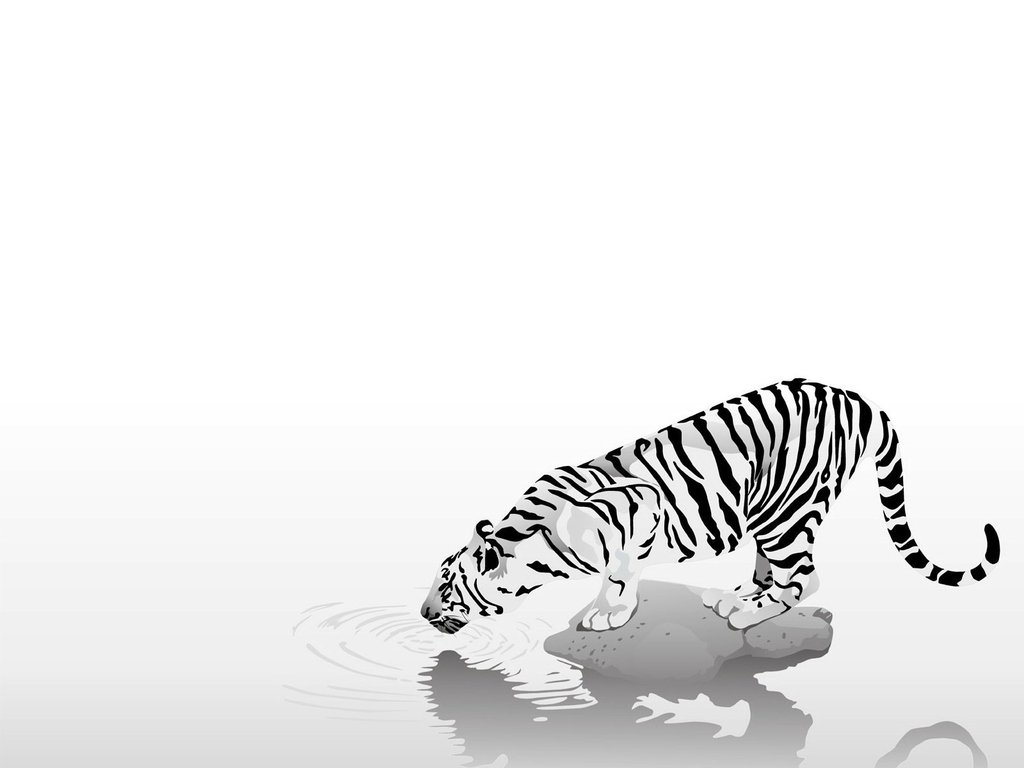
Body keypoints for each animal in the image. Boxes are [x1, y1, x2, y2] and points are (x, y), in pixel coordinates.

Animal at [421, 379, 1001, 634]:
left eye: (447, 585)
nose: (423, 613)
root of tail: (854, 396)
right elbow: (621, 571)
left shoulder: (640, 507)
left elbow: (621, 572)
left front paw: (610, 612)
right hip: (769, 511)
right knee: (775, 568)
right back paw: (737, 593)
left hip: (788, 512)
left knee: (804, 578)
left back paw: (749, 612)